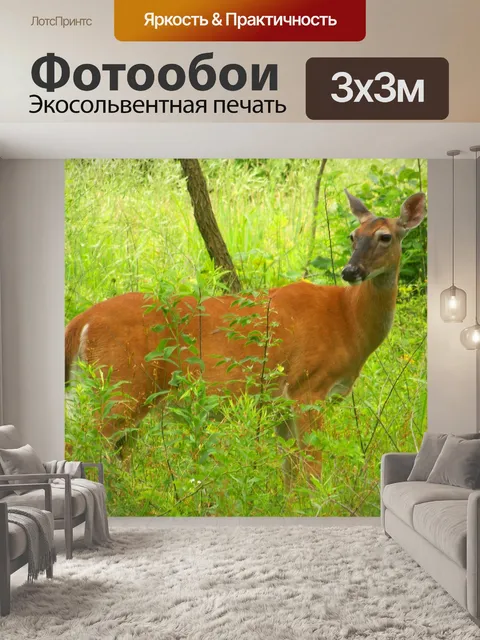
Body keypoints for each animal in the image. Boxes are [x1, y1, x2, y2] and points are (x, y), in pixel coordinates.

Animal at [65, 190, 426, 484]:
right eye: (353, 236)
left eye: (385, 237)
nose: (350, 271)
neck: (348, 320)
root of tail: (81, 320)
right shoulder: (308, 386)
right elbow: (312, 468)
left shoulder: (282, 402)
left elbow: (289, 471)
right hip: (120, 385)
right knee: (81, 442)